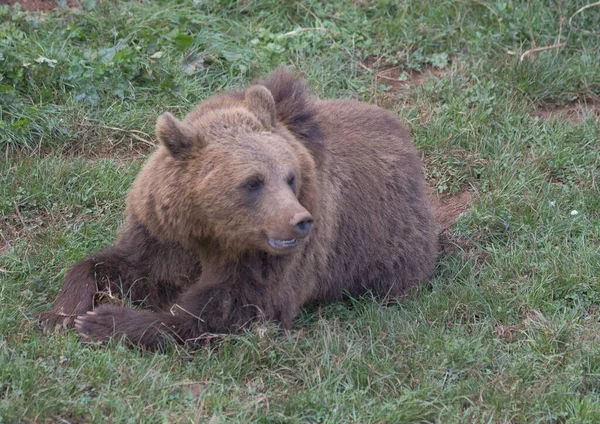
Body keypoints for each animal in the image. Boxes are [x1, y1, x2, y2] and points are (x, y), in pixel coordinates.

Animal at [39, 68, 438, 348]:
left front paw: (105, 321)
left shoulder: (273, 262)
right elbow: (125, 266)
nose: (300, 221)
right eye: (253, 182)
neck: (212, 231)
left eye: (290, 177)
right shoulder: (164, 233)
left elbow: (230, 308)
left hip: (386, 246)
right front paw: (64, 313)